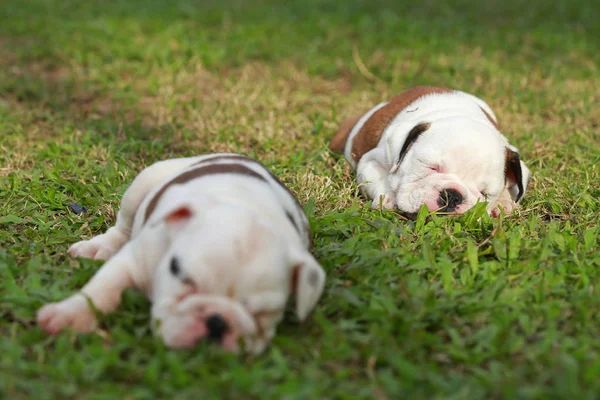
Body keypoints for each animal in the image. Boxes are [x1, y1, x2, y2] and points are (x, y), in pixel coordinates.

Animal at [36, 153, 328, 354]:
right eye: (183, 278)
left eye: (264, 314)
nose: (217, 321)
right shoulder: (135, 260)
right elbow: (101, 290)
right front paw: (69, 316)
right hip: (145, 182)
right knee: (123, 225)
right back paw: (98, 246)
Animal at [330, 86, 532, 217]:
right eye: (430, 167)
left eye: (485, 194)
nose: (453, 196)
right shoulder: (370, 162)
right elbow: (380, 179)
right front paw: (388, 197)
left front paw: (502, 202)